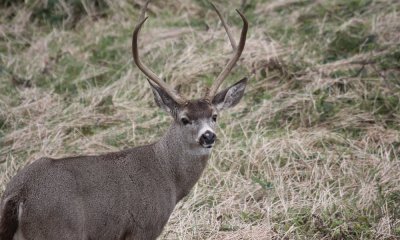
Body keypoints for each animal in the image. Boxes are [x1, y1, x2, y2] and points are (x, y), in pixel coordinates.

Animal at [0, 0, 248, 239]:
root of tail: (19, 194)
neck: (168, 175)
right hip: (58, 229)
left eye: (214, 116)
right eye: (185, 119)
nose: (208, 136)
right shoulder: (143, 227)